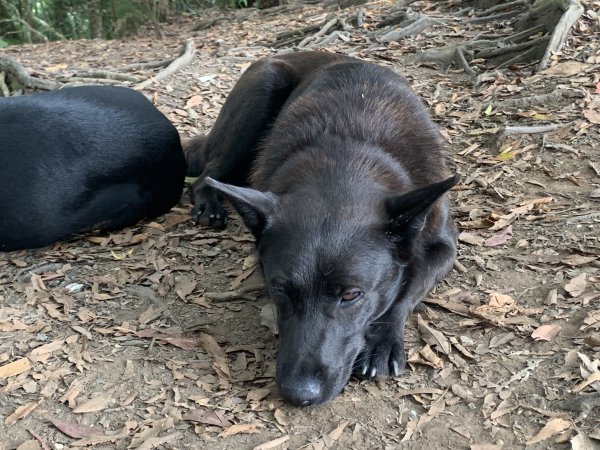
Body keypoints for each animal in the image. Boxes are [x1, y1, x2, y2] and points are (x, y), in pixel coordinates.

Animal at [185, 51, 458, 406]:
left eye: (351, 295)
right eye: (280, 288)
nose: (299, 394)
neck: (349, 154)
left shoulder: (444, 246)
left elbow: (408, 290)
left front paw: (383, 340)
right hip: (260, 92)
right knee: (207, 173)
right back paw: (208, 203)